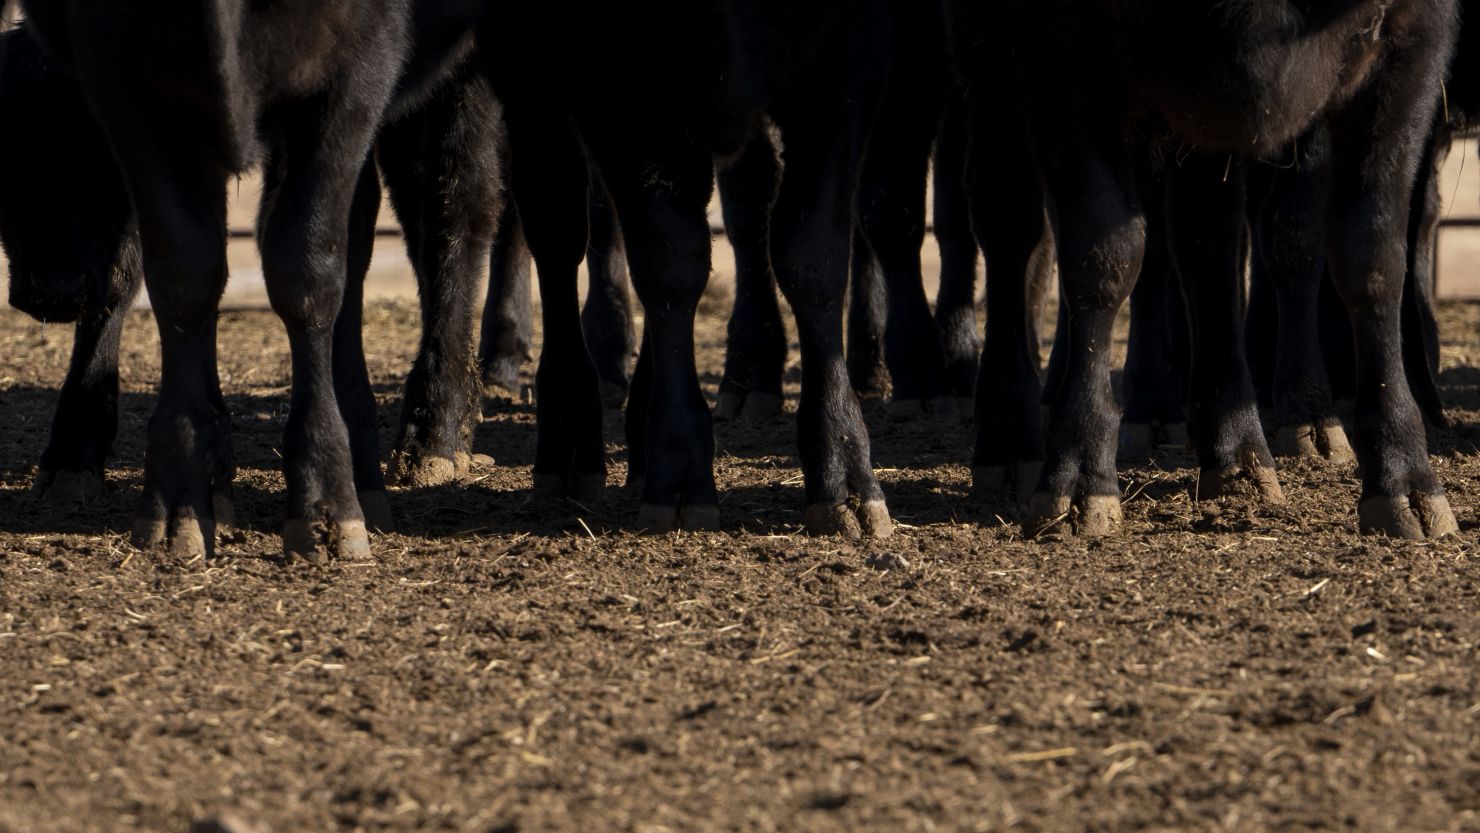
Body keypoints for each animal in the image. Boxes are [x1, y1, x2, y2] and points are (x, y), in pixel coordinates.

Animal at [947, 0, 1456, 538]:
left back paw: (1238, 458)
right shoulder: (1059, 44)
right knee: (1007, 218)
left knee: (1205, 239)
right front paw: (1079, 475)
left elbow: (1371, 254)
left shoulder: (1413, 38)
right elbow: (1104, 251)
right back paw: (1006, 443)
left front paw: (1404, 478)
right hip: (985, 59)